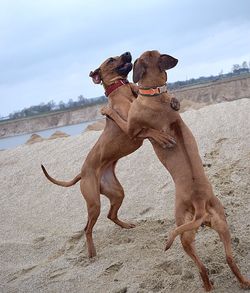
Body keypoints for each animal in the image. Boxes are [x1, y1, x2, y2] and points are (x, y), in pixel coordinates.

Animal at [40, 51, 178, 256]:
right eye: (111, 60)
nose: (128, 52)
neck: (122, 91)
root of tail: (82, 173)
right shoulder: (132, 129)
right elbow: (148, 130)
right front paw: (162, 137)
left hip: (116, 192)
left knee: (110, 214)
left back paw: (125, 225)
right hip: (93, 203)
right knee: (87, 228)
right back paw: (91, 252)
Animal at [101, 50, 250, 290]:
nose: (128, 54)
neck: (155, 94)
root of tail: (200, 205)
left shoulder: (131, 128)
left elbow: (131, 124)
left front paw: (107, 109)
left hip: (184, 232)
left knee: (202, 266)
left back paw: (207, 285)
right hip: (222, 225)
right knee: (229, 258)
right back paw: (243, 281)